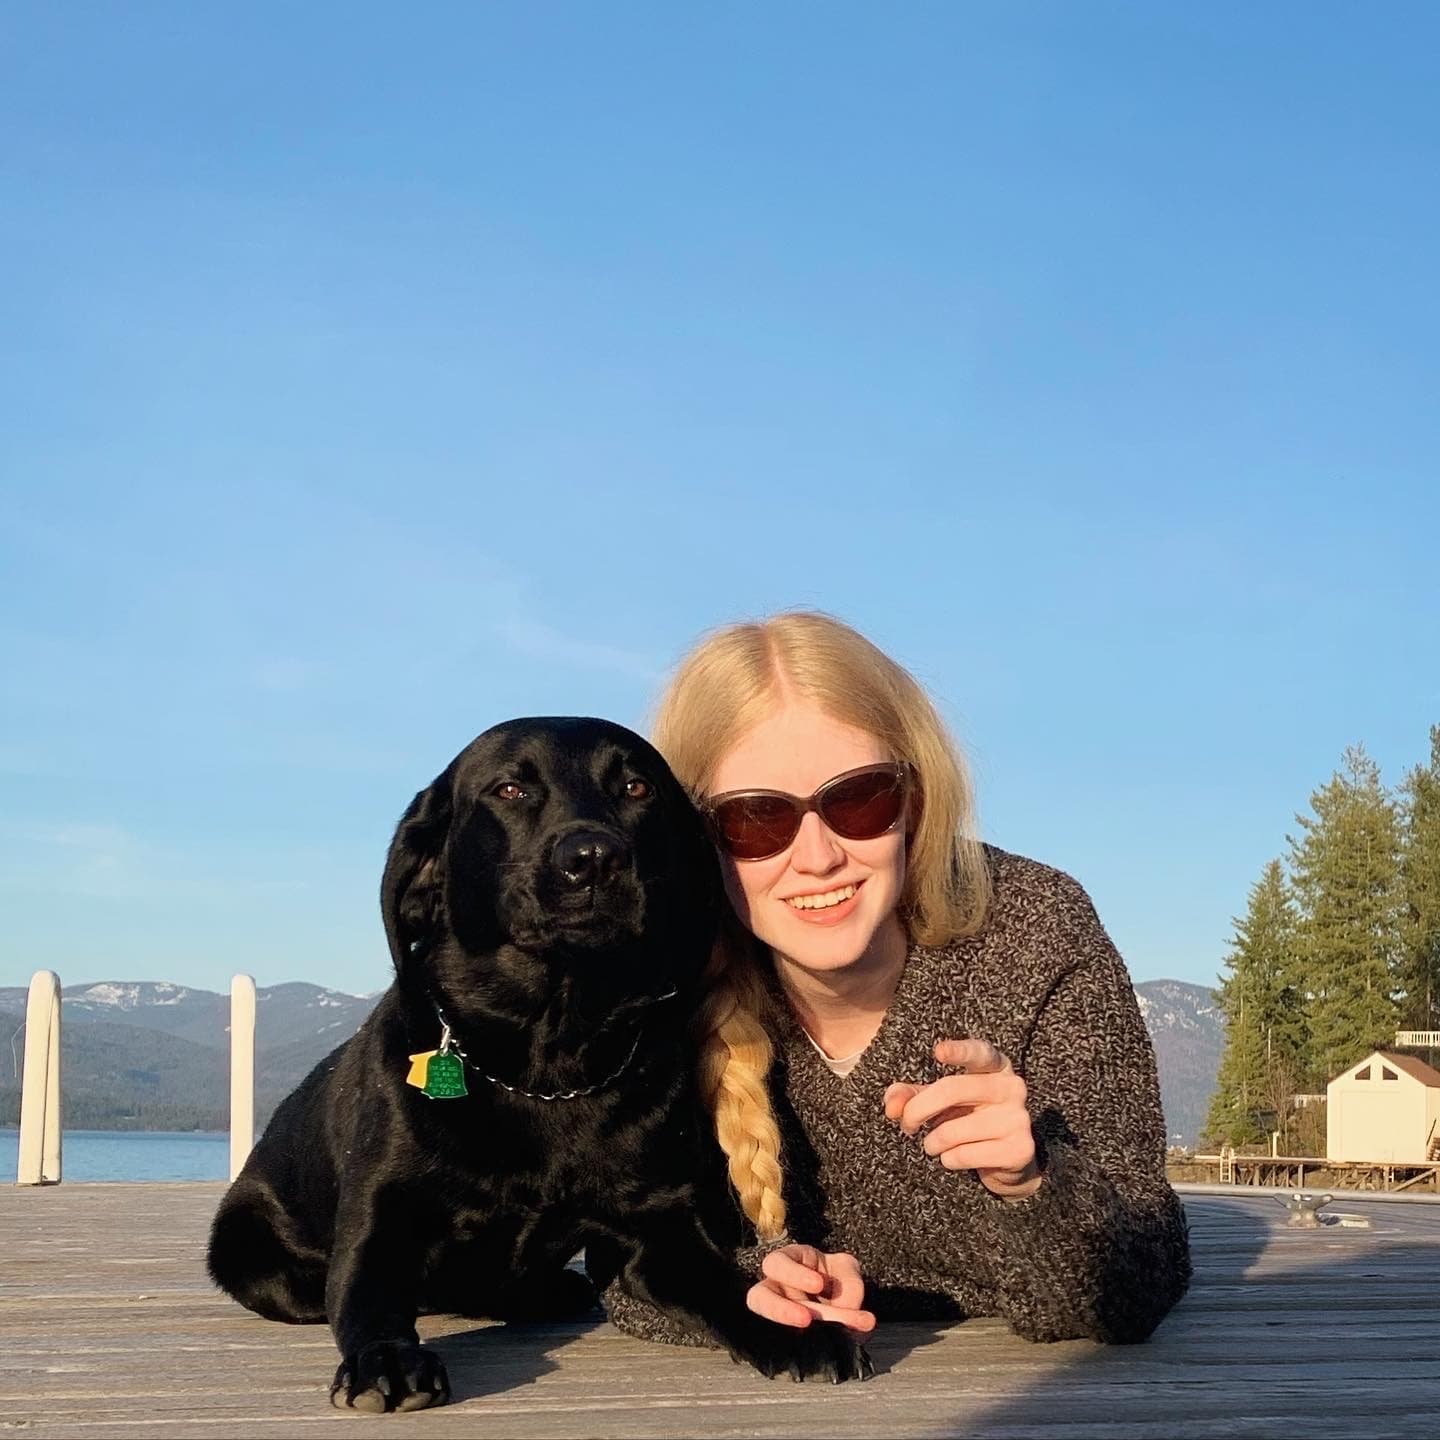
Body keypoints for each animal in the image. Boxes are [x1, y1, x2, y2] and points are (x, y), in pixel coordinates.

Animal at [208, 714, 864, 1411]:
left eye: (637, 786)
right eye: (510, 790)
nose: (594, 858)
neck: (548, 1065)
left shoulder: (662, 1230)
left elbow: (732, 1287)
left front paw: (799, 1330)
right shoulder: (379, 1219)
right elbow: (372, 1300)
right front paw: (386, 1359)